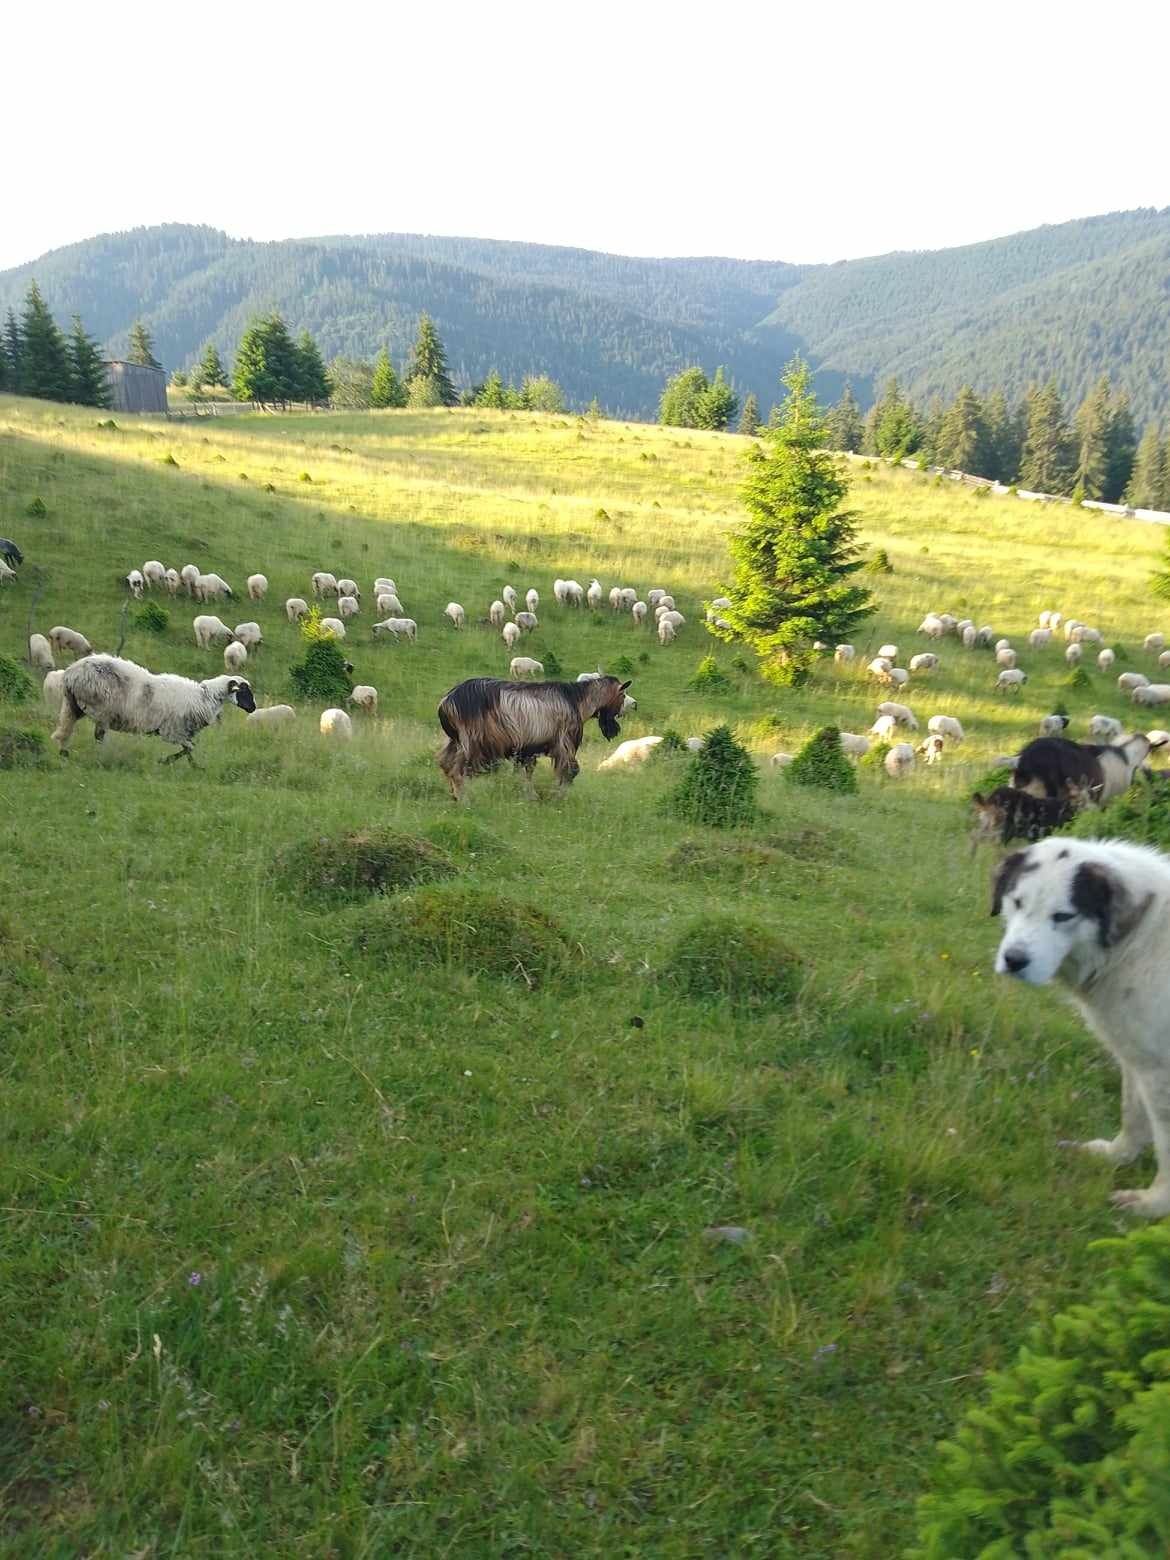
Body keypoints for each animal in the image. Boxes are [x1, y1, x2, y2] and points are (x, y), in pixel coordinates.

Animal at [52, 652, 254, 761]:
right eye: (244, 691)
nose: (253, 708)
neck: (204, 697)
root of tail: (71, 673)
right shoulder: (172, 731)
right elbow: (189, 748)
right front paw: (166, 761)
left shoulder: (181, 732)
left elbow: (189, 750)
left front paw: (194, 767)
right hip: (101, 711)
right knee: (98, 736)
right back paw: (101, 755)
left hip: (73, 705)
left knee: (65, 729)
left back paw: (63, 753)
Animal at [436, 673, 633, 804]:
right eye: (622, 695)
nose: (627, 709)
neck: (577, 700)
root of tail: (446, 702)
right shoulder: (564, 742)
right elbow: (570, 771)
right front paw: (558, 797)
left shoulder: (527, 749)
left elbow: (527, 773)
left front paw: (531, 797)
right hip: (472, 741)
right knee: (457, 770)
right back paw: (464, 800)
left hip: (456, 740)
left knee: (445, 762)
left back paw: (454, 795)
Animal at [992, 842, 1170, 1216]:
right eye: (1017, 902)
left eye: (1063, 916)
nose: (1014, 960)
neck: (1139, 935)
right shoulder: (1138, 1059)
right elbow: (1132, 1114)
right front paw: (1116, 1157)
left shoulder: (1160, 1072)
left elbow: (1166, 1145)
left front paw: (1155, 1204)